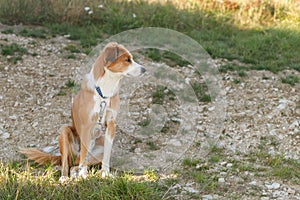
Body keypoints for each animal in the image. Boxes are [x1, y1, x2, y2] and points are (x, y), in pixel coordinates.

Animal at [20, 42, 146, 183]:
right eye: (127, 60)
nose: (144, 69)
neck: (104, 92)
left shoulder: (111, 124)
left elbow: (107, 155)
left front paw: (105, 174)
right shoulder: (86, 126)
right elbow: (84, 154)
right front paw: (84, 175)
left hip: (97, 149)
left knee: (75, 164)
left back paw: (76, 173)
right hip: (64, 131)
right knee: (67, 163)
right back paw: (65, 177)